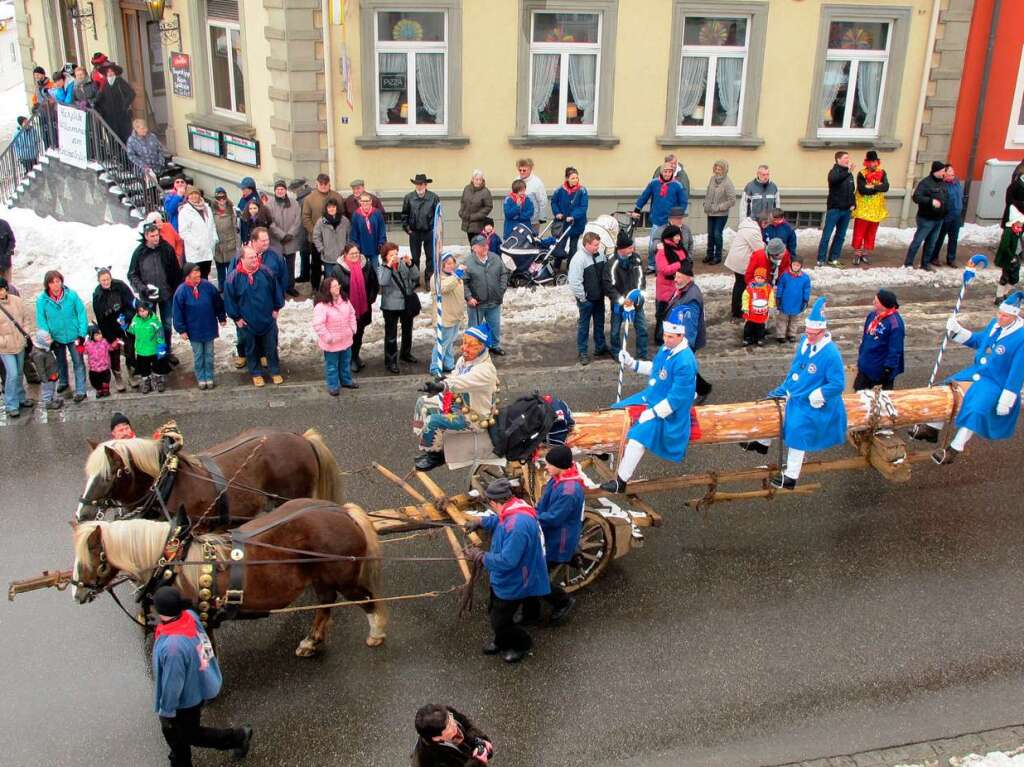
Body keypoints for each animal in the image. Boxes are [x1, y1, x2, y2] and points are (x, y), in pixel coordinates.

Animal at [69, 499, 387, 655]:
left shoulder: (198, 614)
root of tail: (342, 511)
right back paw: (311, 641)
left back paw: (376, 634)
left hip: (343, 577)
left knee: (366, 600)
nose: (77, 592)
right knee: (325, 604)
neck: (172, 560)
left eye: (90, 558)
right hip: (321, 578)